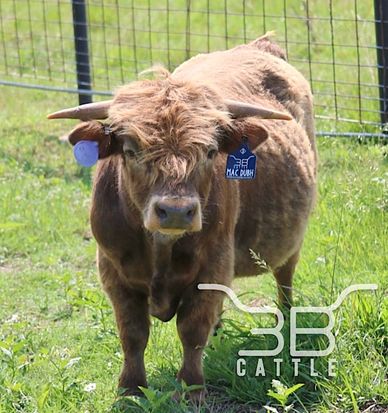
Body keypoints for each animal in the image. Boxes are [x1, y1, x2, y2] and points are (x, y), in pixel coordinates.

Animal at [47, 33, 316, 398]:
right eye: (131, 150)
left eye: (210, 151)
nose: (175, 211)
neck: (160, 248)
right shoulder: (113, 271)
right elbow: (132, 333)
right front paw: (131, 388)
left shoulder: (213, 264)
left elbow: (192, 329)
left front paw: (191, 387)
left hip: (291, 241)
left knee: (284, 277)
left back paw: (286, 323)